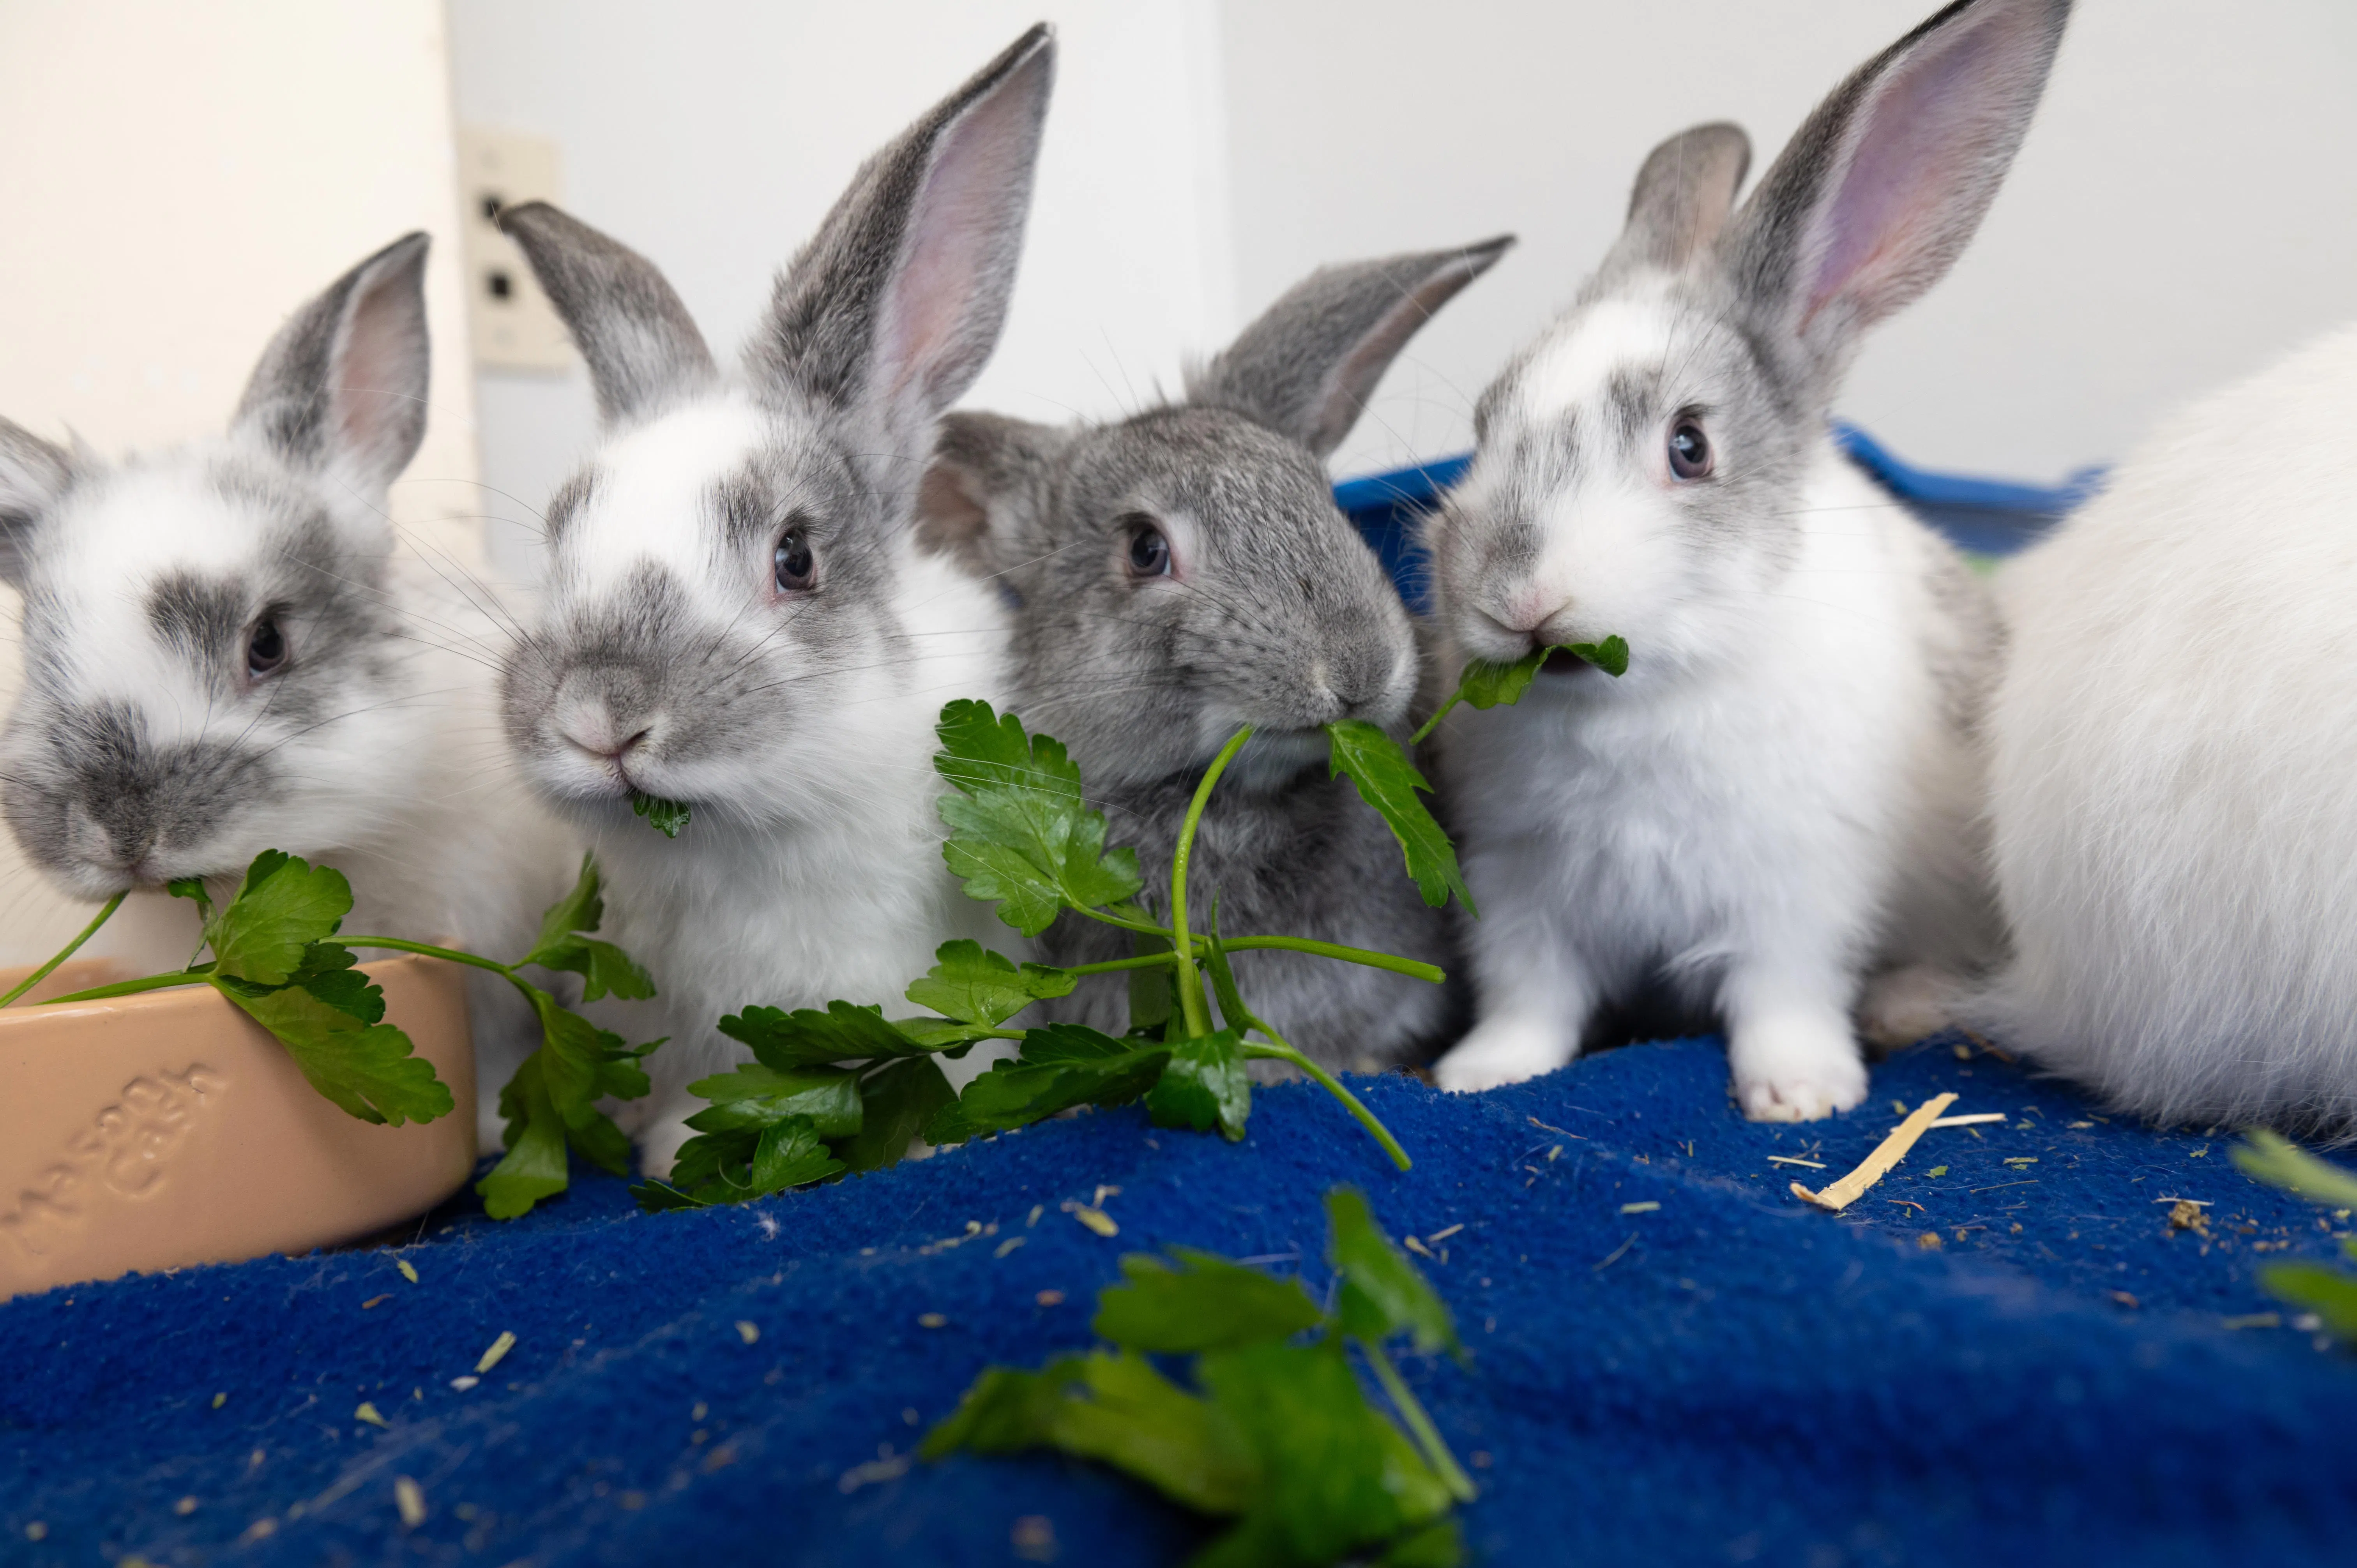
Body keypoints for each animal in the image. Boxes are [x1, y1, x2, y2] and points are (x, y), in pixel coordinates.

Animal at [1424, 0, 2069, 1120]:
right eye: (1483, 423)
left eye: (1691, 446)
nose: (1517, 597)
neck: (1636, 705)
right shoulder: (1519, 887)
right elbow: (1529, 997)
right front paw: (1479, 1074)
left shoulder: (1796, 895)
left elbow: (1783, 996)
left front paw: (1803, 1093)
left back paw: (1905, 1008)